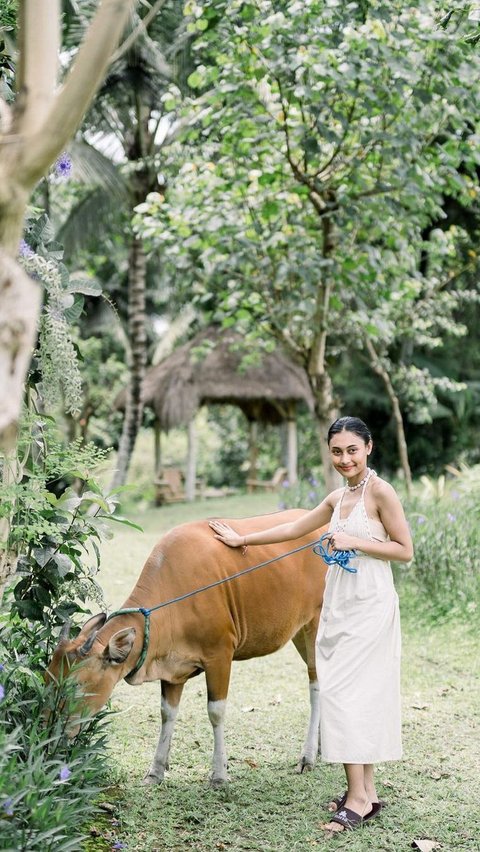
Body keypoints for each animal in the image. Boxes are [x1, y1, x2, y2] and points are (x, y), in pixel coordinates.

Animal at [47, 510, 326, 784]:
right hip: (299, 632)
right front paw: (156, 771)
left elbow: (216, 712)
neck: (175, 594)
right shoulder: (171, 668)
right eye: (47, 678)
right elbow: (167, 713)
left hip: (315, 625)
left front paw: (219, 774)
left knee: (317, 686)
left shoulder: (220, 655)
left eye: (75, 685)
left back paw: (308, 756)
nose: (48, 730)